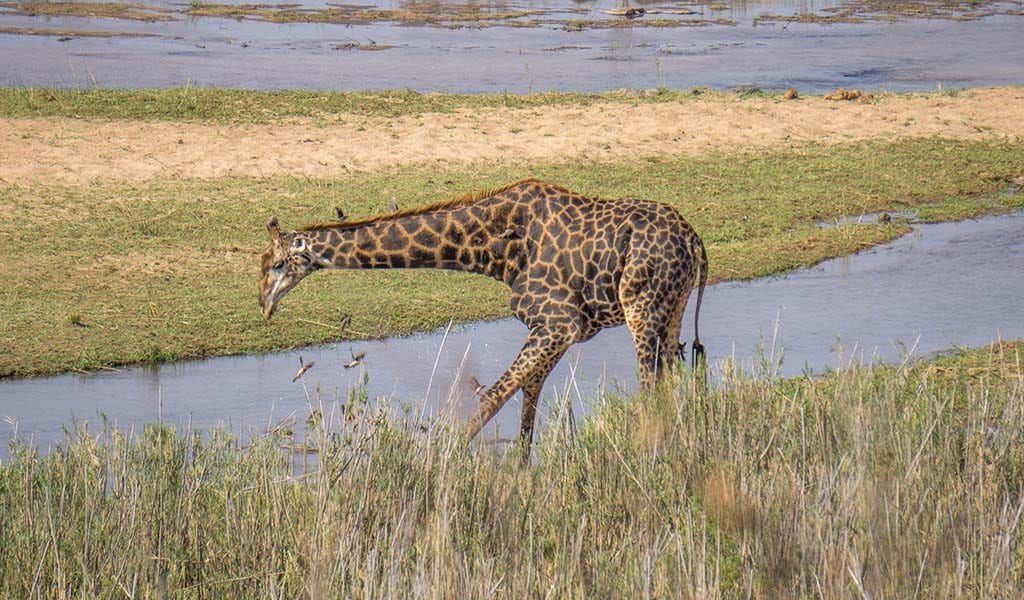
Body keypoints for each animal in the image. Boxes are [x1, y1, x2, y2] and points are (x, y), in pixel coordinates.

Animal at [258, 180, 704, 450]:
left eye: (277, 264)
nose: (264, 304)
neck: (494, 250)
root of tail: (694, 241)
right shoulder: (557, 329)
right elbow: (527, 399)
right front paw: (522, 473)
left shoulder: (558, 323)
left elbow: (492, 397)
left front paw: (444, 461)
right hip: (674, 309)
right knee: (672, 381)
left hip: (641, 308)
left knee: (650, 387)